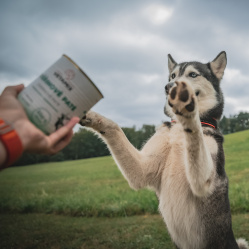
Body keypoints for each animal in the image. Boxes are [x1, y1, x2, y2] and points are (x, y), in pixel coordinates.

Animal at [80, 51, 248, 248]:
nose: (169, 87)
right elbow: (114, 128)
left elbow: (195, 136)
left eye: (193, 74)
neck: (178, 130)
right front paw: (92, 116)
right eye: (172, 76)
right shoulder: (142, 171)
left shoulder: (203, 182)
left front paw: (189, 113)